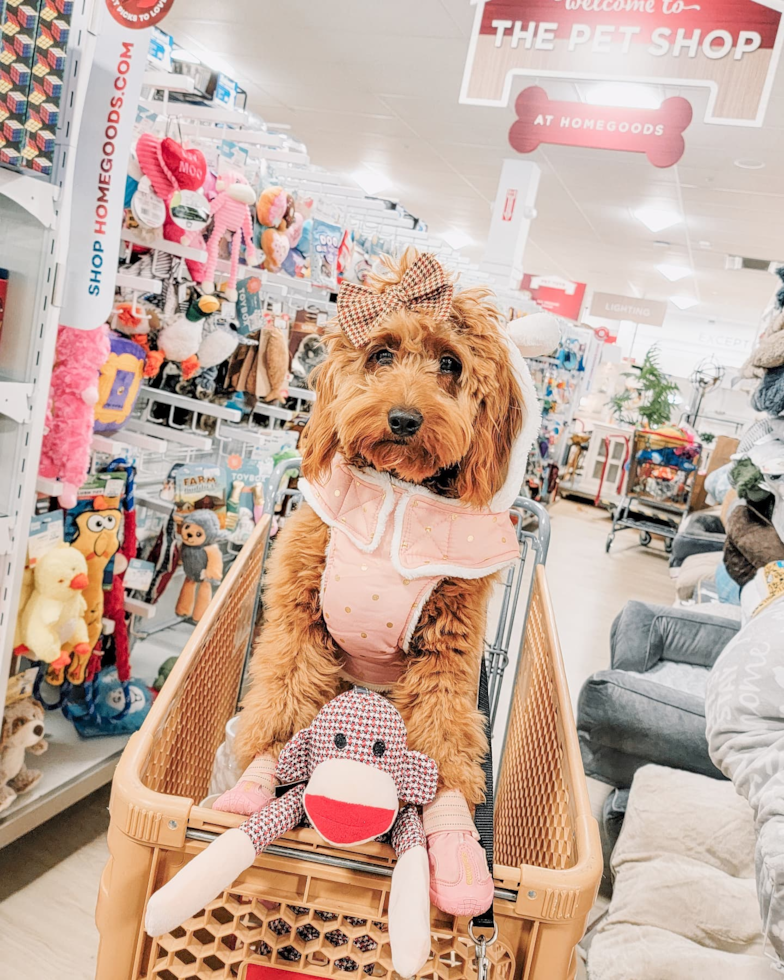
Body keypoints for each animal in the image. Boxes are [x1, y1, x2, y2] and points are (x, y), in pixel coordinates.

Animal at [214, 247, 556, 920]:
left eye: (450, 363)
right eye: (381, 353)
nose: (403, 418)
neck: (398, 494)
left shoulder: (448, 653)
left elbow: (444, 737)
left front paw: (455, 844)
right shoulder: (300, 618)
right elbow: (283, 699)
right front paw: (256, 781)